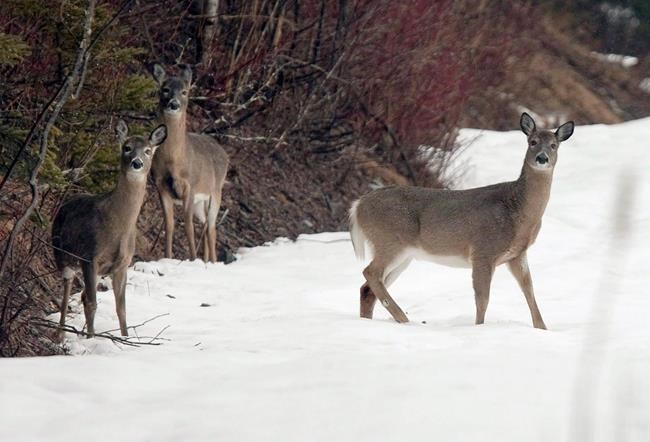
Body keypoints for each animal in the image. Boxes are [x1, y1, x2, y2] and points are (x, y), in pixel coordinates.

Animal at [51, 121, 167, 340]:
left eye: (148, 151)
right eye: (127, 147)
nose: (137, 163)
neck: (118, 228)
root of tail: (62, 206)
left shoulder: (122, 264)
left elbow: (121, 308)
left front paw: (125, 339)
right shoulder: (89, 256)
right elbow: (92, 303)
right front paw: (91, 339)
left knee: (82, 295)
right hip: (62, 256)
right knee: (68, 293)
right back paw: (60, 334)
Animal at [151, 63, 229, 263]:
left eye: (184, 92)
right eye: (165, 89)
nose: (174, 104)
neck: (174, 160)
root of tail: (225, 154)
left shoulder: (190, 186)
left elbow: (187, 226)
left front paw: (192, 258)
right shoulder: (161, 185)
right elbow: (169, 225)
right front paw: (167, 257)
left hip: (215, 192)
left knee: (211, 228)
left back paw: (212, 261)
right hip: (200, 204)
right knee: (206, 227)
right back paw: (207, 260)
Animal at [349, 112, 574, 329]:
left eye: (554, 145)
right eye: (532, 142)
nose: (542, 158)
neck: (517, 211)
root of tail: (358, 205)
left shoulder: (517, 254)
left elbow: (529, 290)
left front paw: (542, 328)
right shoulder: (483, 251)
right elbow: (483, 299)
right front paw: (479, 328)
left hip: (404, 254)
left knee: (367, 288)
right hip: (389, 240)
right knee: (370, 273)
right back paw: (403, 318)